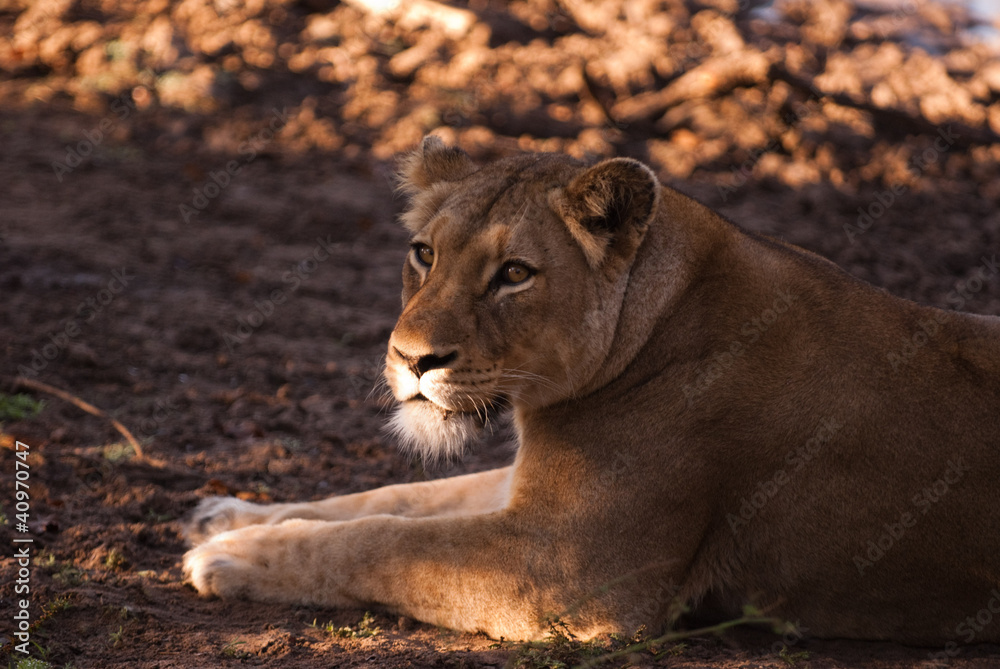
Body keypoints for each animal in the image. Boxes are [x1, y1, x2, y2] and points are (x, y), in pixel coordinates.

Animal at [184, 136, 1000, 645]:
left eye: (514, 273)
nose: (411, 359)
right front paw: (228, 516)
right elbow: (386, 501)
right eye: (423, 254)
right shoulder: (532, 491)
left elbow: (385, 541)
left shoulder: (572, 571)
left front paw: (234, 555)